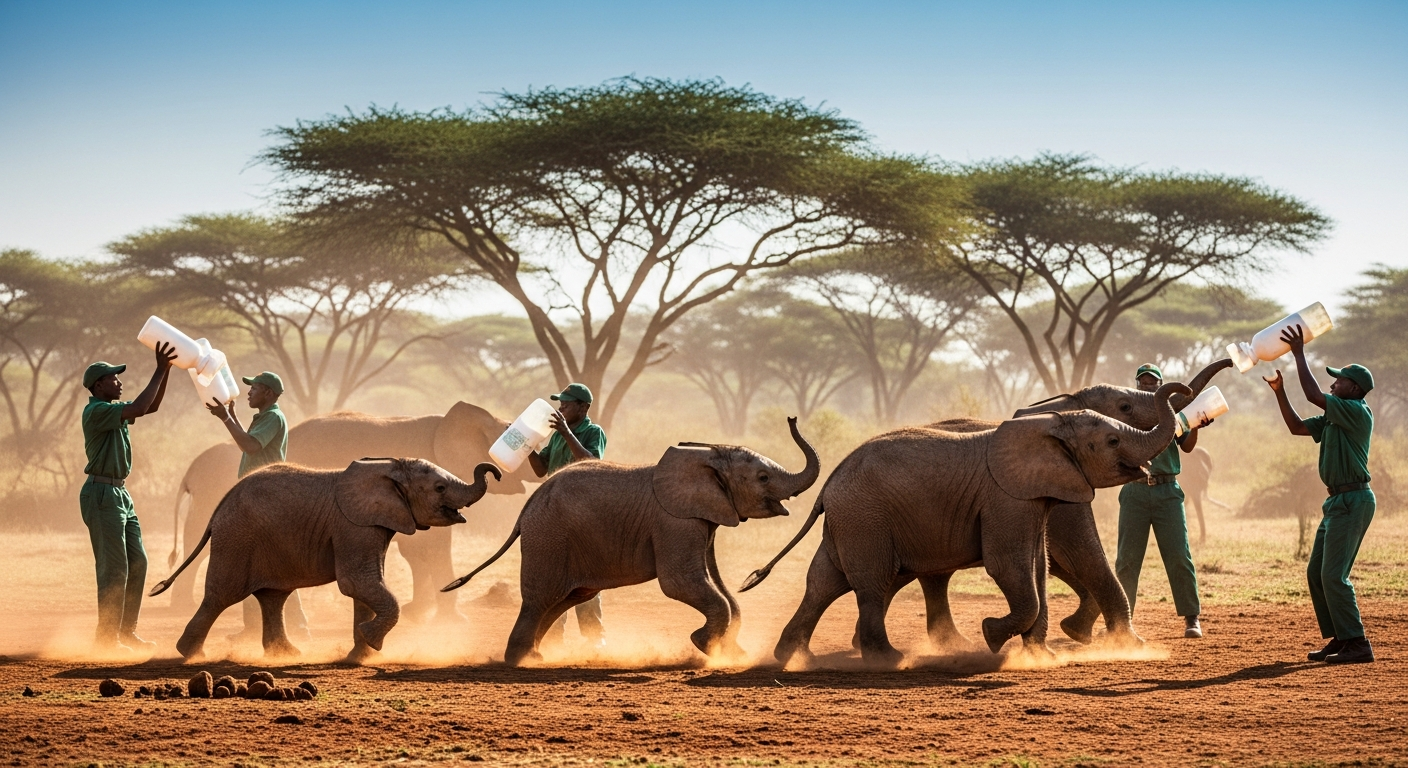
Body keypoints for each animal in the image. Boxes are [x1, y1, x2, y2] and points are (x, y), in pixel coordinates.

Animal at [151, 459, 501, 663]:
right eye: (439, 488)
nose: (495, 470)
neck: (390, 466)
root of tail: (218, 507)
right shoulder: (353, 525)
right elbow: (357, 582)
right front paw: (372, 643)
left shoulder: (371, 526)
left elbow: (367, 584)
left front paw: (360, 656)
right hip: (237, 538)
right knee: (222, 595)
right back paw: (191, 654)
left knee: (273, 597)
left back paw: (286, 655)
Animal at [442, 417, 821, 666]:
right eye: (763, 477)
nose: (792, 418)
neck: (707, 459)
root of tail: (526, 509)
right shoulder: (674, 522)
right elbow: (680, 582)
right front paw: (704, 645)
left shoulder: (704, 519)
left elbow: (721, 589)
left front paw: (730, 654)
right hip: (548, 537)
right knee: (541, 599)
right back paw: (521, 660)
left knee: (565, 599)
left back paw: (536, 654)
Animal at [750, 382, 1188, 668]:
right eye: (1116, 433)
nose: (1170, 387)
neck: (1054, 420)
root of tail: (828, 484)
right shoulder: (1008, 499)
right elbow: (1011, 566)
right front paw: (993, 636)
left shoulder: (1032, 498)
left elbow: (1036, 567)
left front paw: (1040, 656)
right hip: (865, 519)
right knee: (871, 582)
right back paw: (887, 659)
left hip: (856, 521)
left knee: (826, 581)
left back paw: (794, 656)